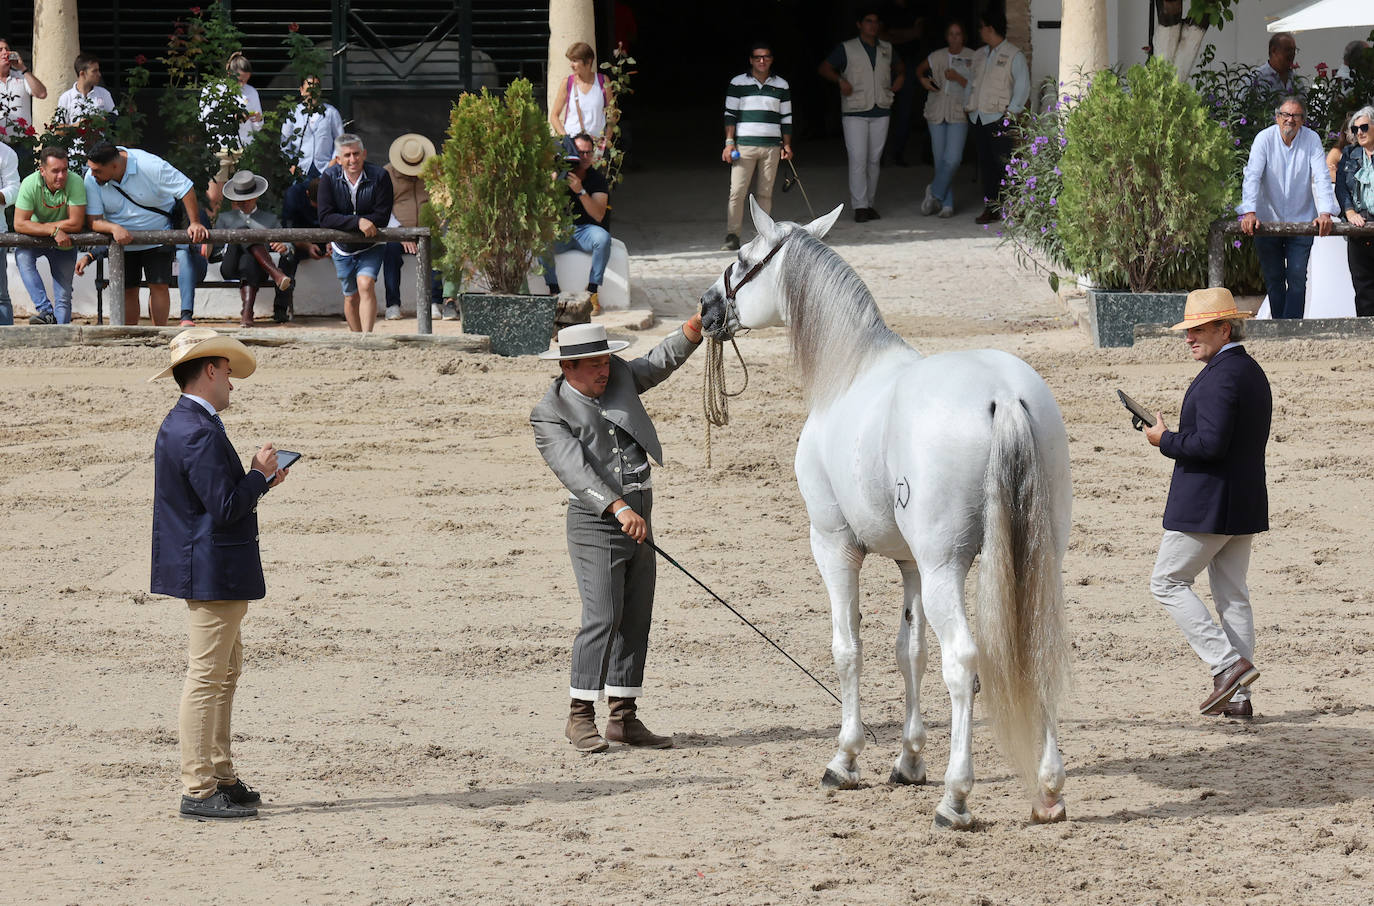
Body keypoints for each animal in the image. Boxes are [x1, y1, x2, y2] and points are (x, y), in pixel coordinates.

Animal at [703, 197, 1077, 830]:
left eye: (744, 258)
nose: (707, 309)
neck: (849, 375)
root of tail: (1003, 395)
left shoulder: (833, 545)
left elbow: (848, 647)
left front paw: (846, 760)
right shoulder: (910, 566)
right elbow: (910, 652)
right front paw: (908, 759)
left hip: (948, 567)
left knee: (963, 662)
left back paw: (955, 799)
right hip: (1037, 557)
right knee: (1035, 646)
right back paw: (1048, 791)